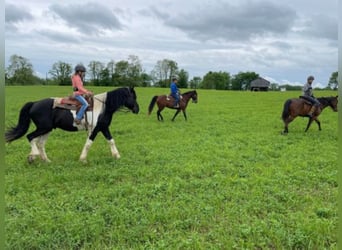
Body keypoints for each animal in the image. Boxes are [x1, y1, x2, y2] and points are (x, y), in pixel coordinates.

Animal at [5, 87, 140, 163]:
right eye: (133, 97)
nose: (137, 109)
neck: (102, 107)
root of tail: (34, 103)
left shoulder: (103, 127)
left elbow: (111, 141)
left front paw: (117, 156)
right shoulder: (95, 129)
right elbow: (88, 143)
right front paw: (82, 159)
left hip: (47, 129)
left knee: (40, 143)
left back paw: (45, 160)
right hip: (43, 128)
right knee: (30, 137)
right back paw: (33, 156)